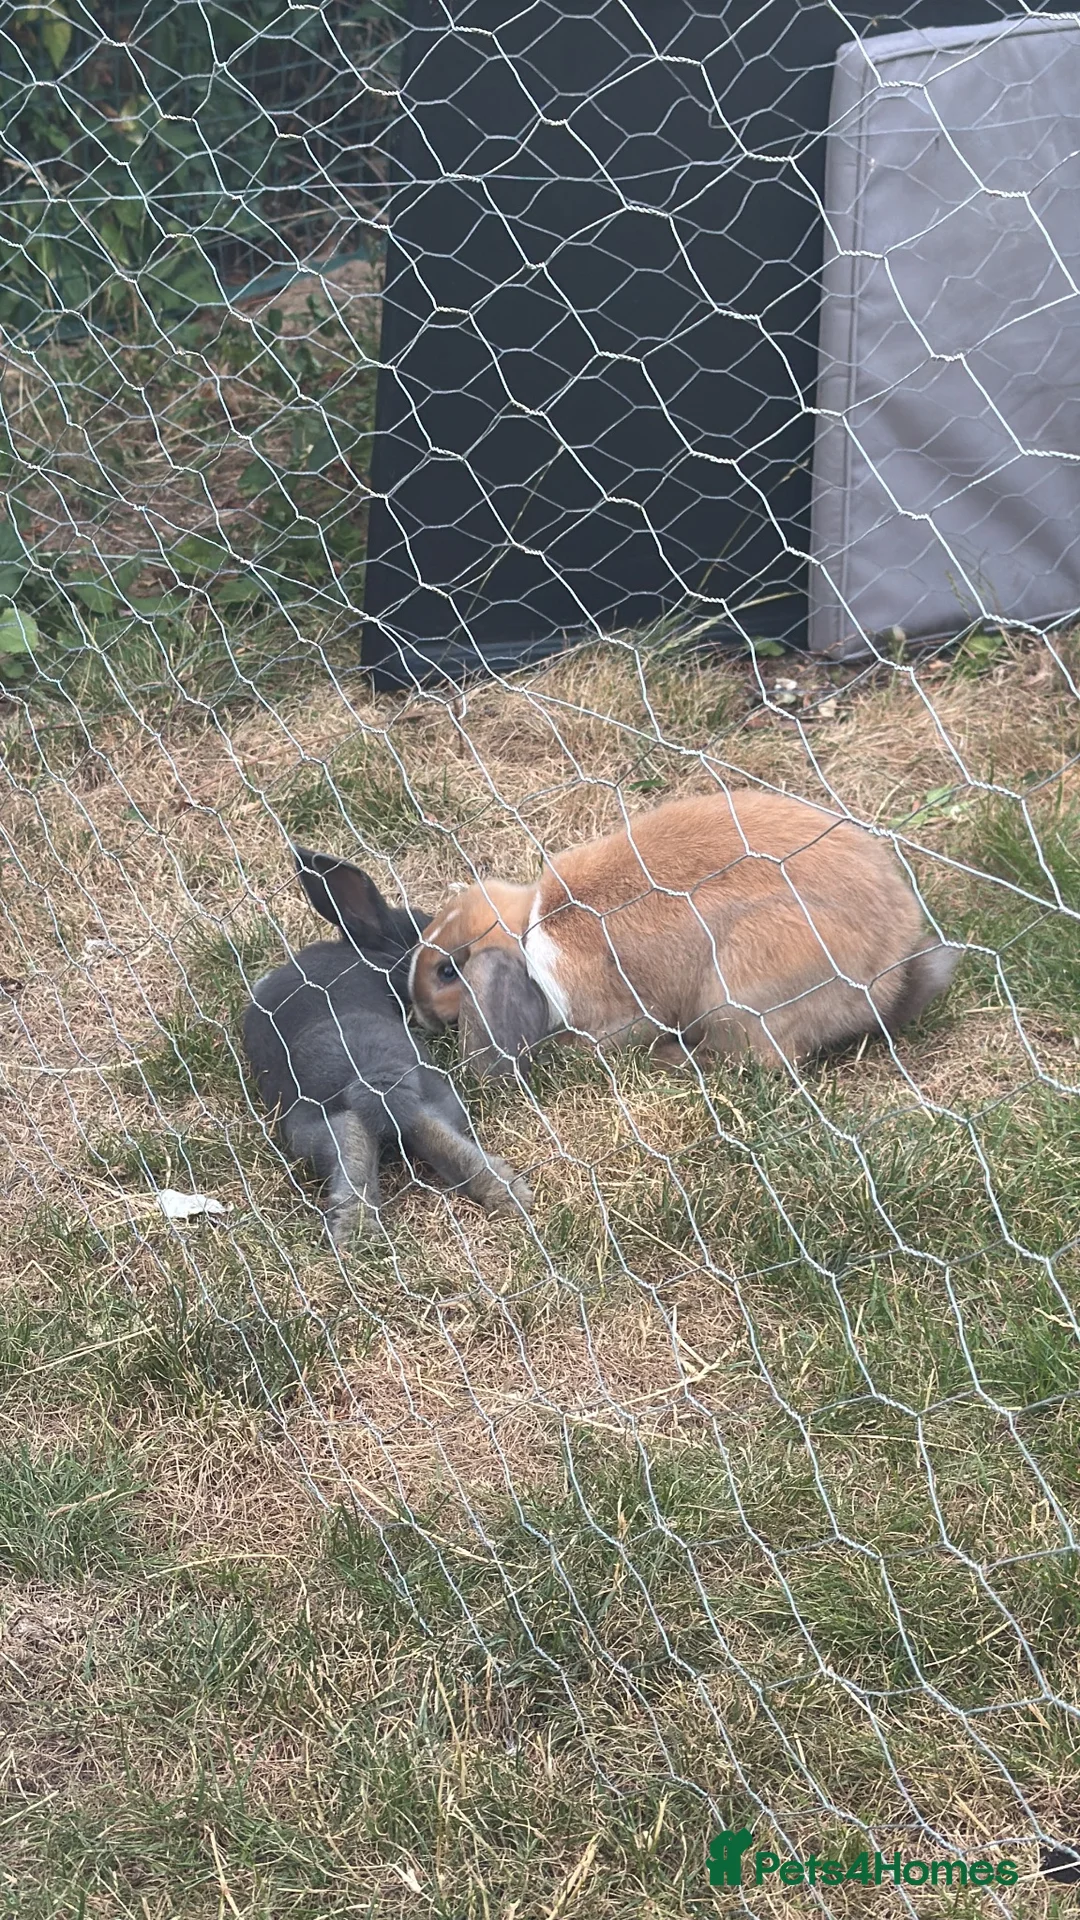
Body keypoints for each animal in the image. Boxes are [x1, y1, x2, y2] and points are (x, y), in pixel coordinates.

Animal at [408, 788, 961, 1078]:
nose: (420, 1018)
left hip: (739, 997)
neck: (528, 930)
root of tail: (887, 979)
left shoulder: (615, 1012)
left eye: (447, 971)